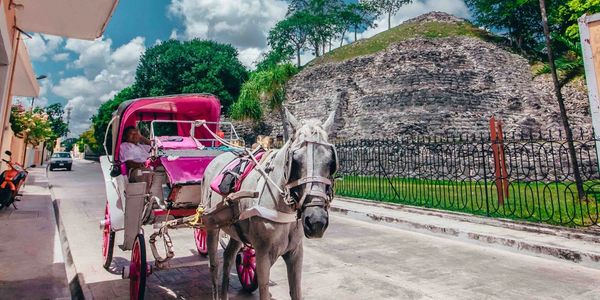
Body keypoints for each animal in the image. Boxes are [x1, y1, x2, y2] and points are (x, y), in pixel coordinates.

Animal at [202, 108, 338, 300]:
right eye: (295, 161)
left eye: (331, 161)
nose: (316, 221)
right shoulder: (263, 255)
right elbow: (264, 291)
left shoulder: (296, 252)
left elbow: (296, 292)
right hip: (210, 224)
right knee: (214, 265)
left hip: (237, 229)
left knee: (228, 257)